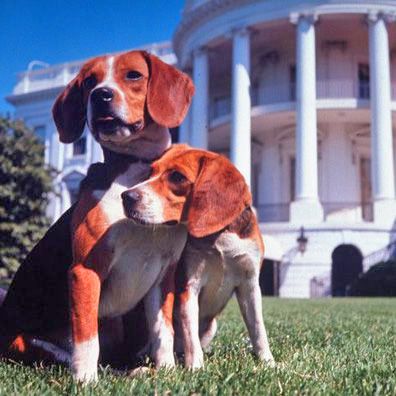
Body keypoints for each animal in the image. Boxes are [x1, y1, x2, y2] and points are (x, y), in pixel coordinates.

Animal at [0, 49, 193, 384]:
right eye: (89, 81)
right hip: (24, 341)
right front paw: (85, 382)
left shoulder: (163, 277)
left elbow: (163, 332)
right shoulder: (85, 271)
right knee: (71, 354)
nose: (100, 95)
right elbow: (86, 336)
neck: (133, 173)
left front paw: (167, 369)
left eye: (133, 75)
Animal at [122, 146, 274, 372]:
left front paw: (268, 362)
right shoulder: (189, 286)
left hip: (212, 326)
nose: (126, 196)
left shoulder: (250, 284)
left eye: (177, 177)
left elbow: (258, 329)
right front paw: (196, 368)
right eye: (150, 172)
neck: (220, 235)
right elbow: (190, 335)